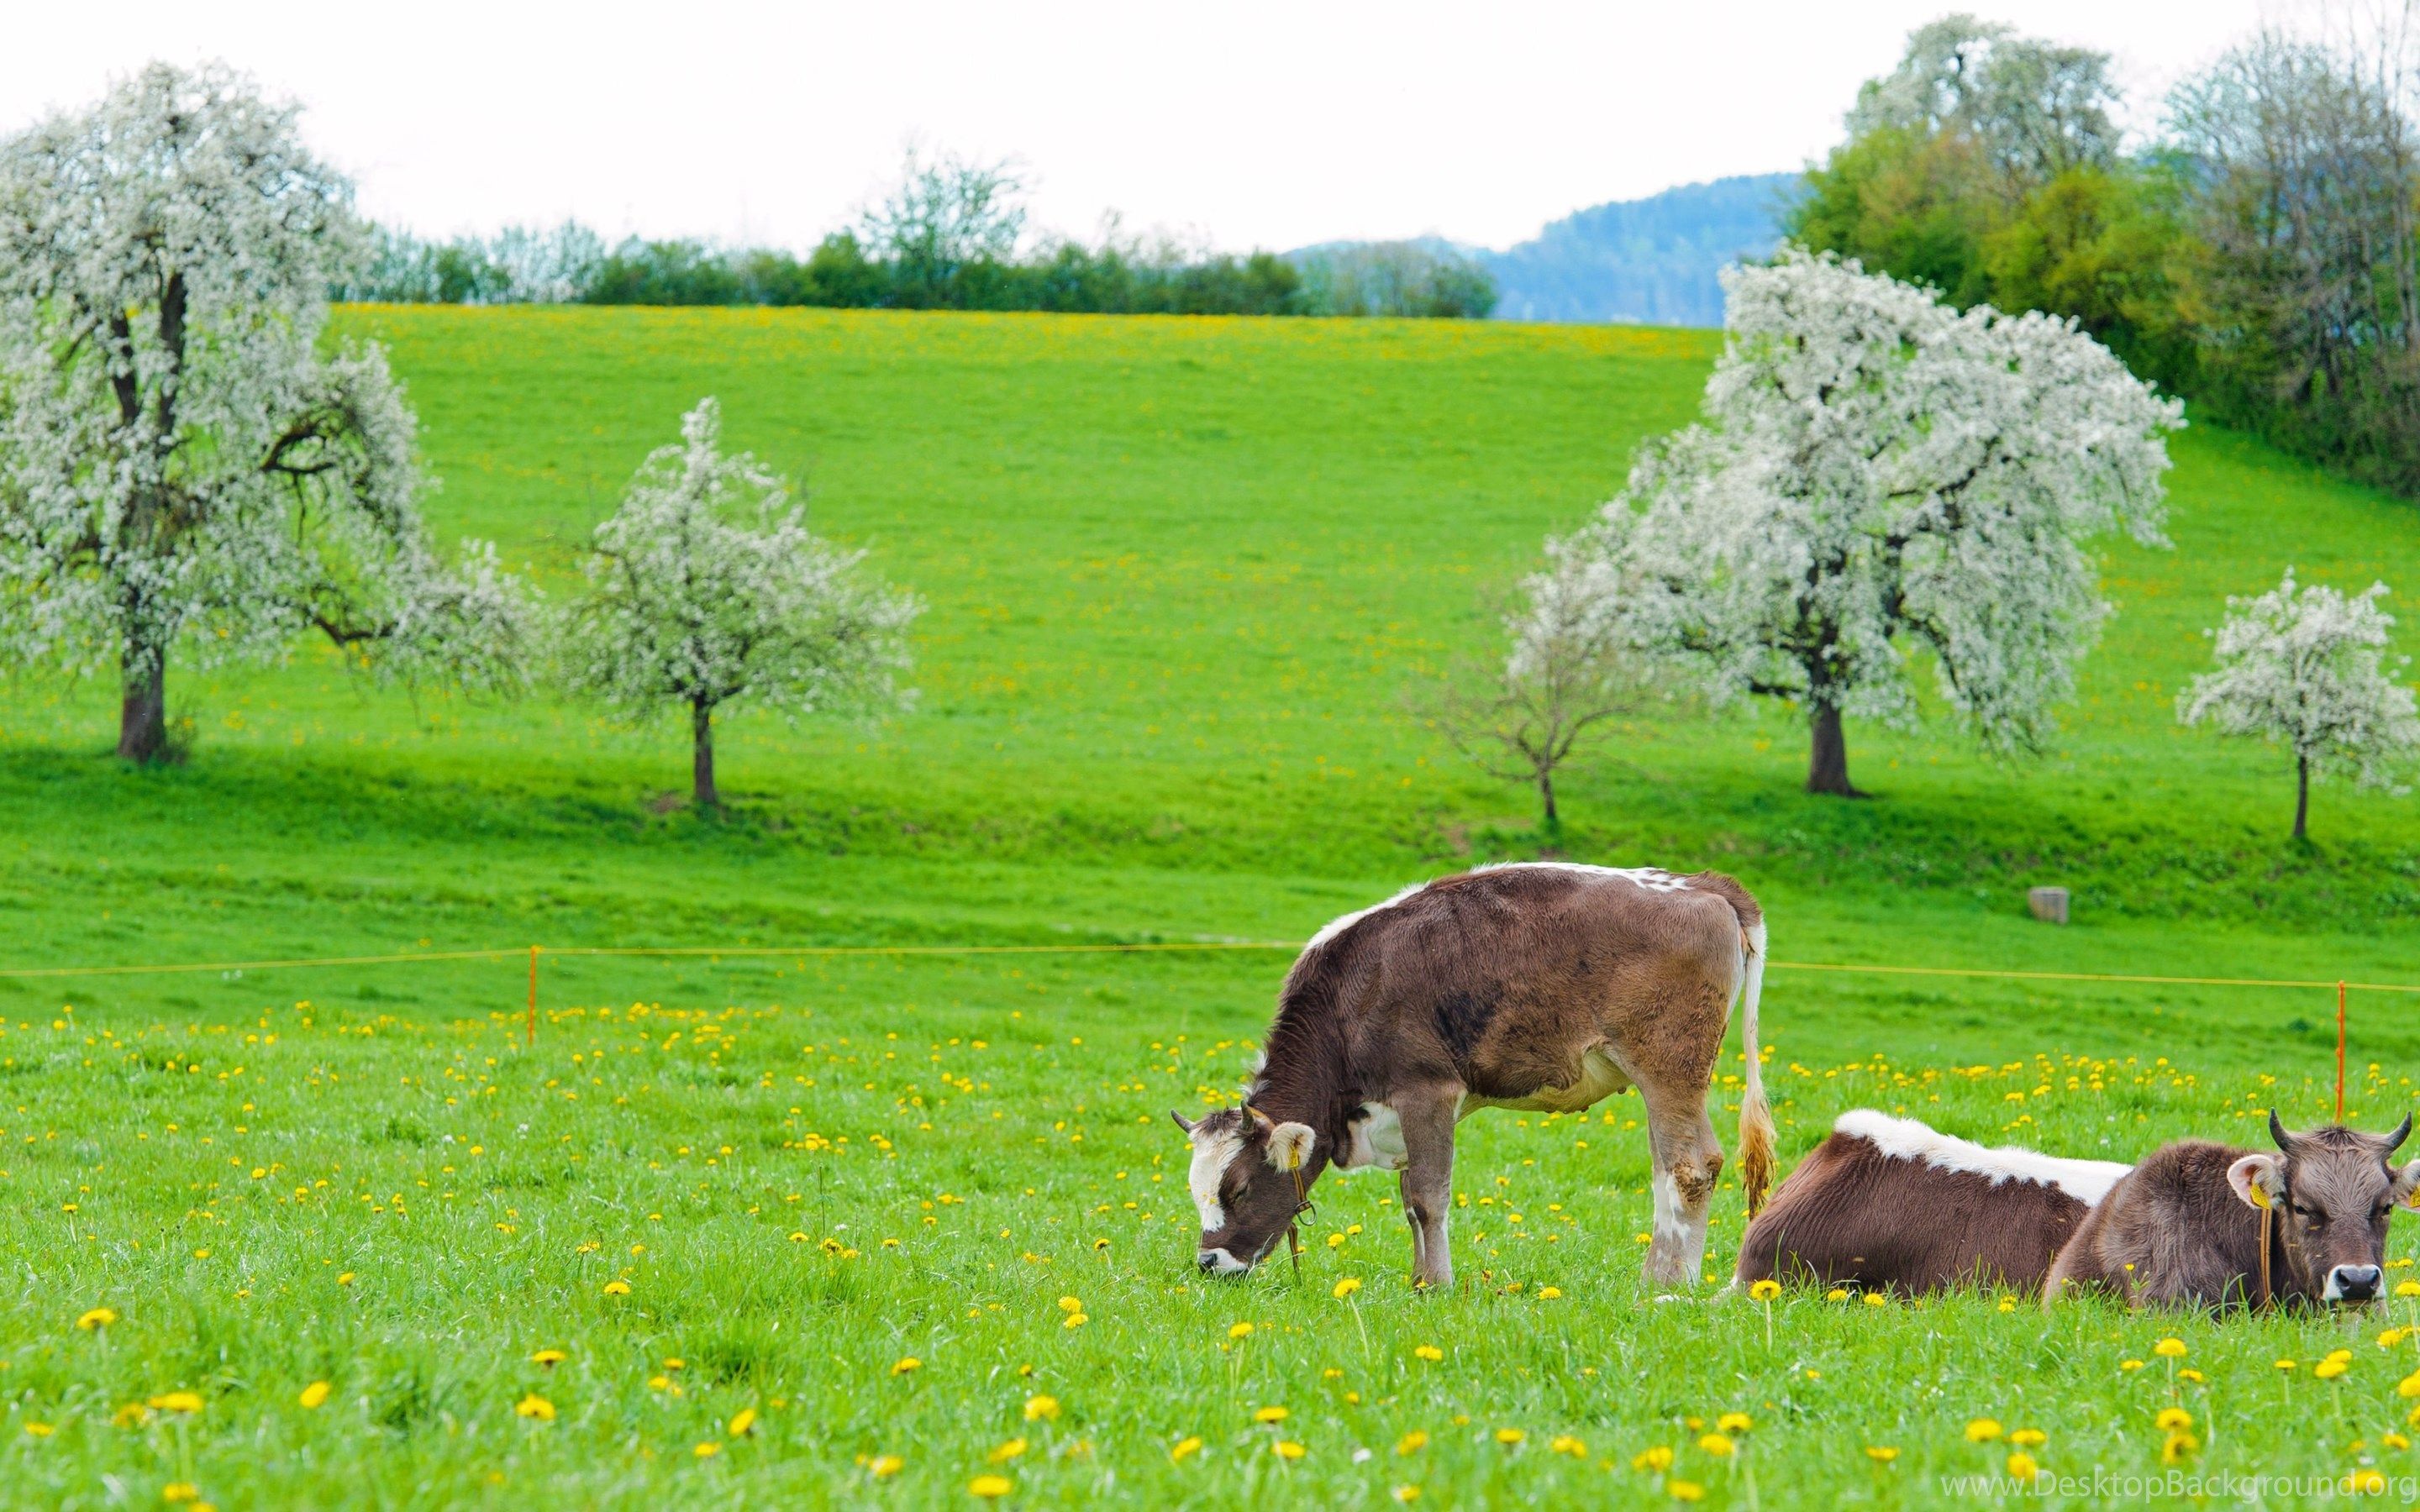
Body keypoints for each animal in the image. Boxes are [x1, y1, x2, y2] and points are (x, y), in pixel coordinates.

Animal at [1171, 861, 1781, 1287]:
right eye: (1196, 1189)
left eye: (1239, 1188)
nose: (1208, 1262)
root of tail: (1704, 885)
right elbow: (1410, 1200)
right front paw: (1419, 1280)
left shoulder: (1427, 1090)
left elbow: (1426, 1197)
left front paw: (1436, 1286)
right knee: (1667, 1167)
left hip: (1671, 1067)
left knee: (1690, 1166)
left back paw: (1664, 1283)